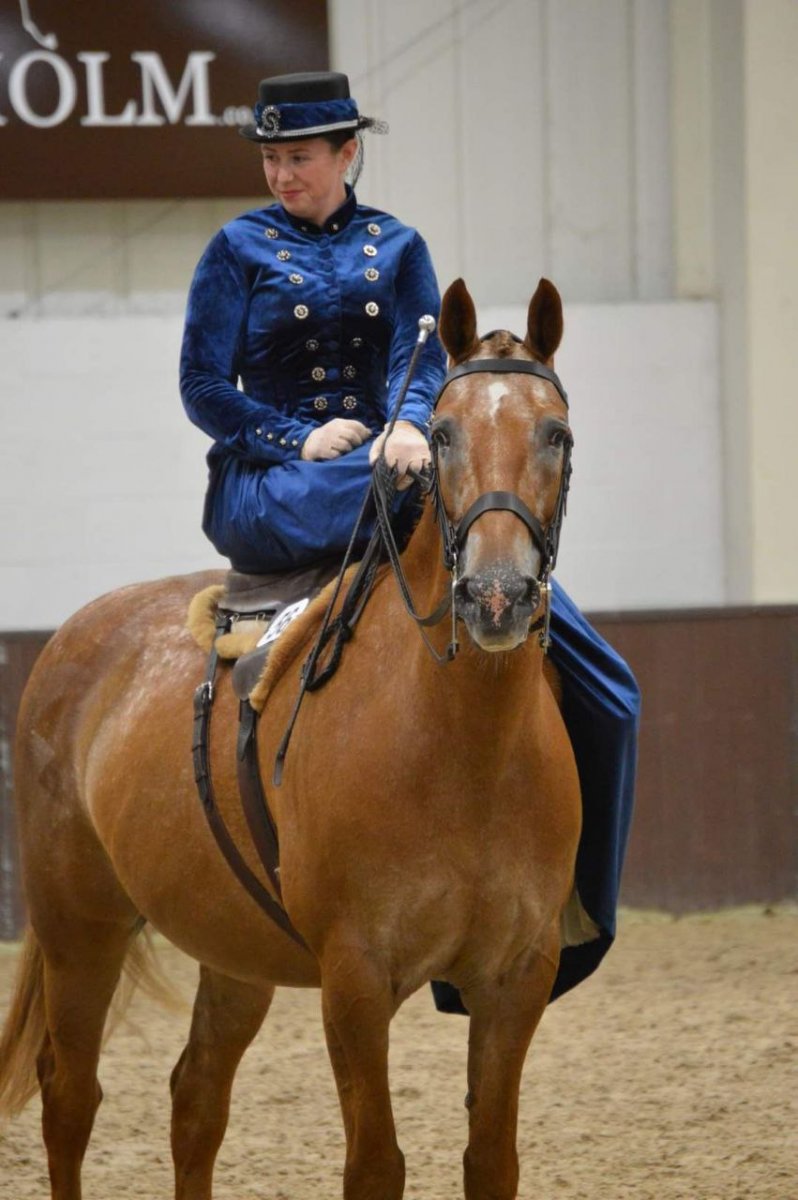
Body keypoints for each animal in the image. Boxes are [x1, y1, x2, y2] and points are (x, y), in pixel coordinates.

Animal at [1, 276, 585, 1195]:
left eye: (555, 433)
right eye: (443, 434)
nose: (496, 596)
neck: (463, 753)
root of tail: (75, 638)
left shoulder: (515, 978)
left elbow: (491, 1159)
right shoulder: (354, 979)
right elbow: (375, 1164)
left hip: (230, 948)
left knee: (196, 1097)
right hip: (78, 927)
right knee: (70, 1097)